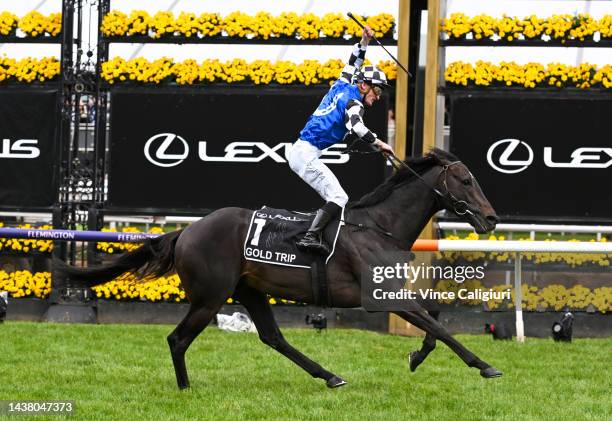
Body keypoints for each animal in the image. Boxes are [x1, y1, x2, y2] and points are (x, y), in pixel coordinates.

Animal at [58, 149, 502, 388]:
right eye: (465, 180)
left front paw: (416, 355)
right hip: (211, 297)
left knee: (273, 337)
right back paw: (185, 388)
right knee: (177, 339)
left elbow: (435, 320)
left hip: (249, 290)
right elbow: (440, 326)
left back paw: (329, 375)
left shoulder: (392, 291)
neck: (378, 226)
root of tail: (187, 231)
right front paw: (485, 365)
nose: (492, 218)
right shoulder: (380, 295)